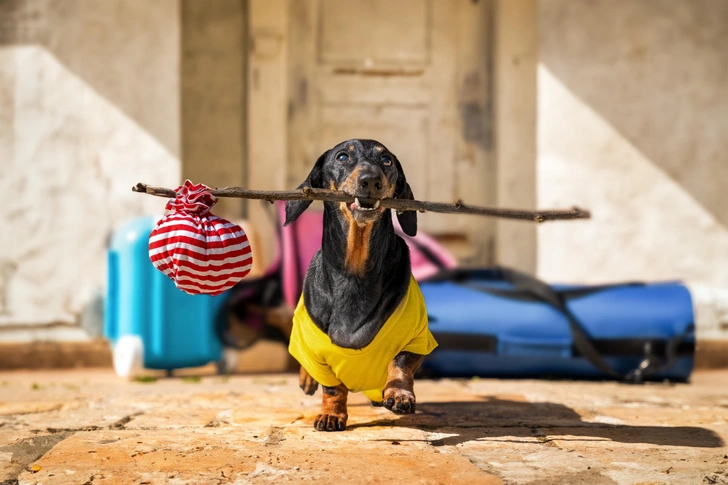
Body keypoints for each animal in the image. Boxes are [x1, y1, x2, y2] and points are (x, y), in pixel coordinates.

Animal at [284, 138, 438, 430]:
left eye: (386, 160)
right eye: (343, 157)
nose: (371, 180)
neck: (354, 273)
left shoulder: (417, 338)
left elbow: (400, 362)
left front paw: (399, 393)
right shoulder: (317, 351)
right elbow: (333, 388)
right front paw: (332, 414)